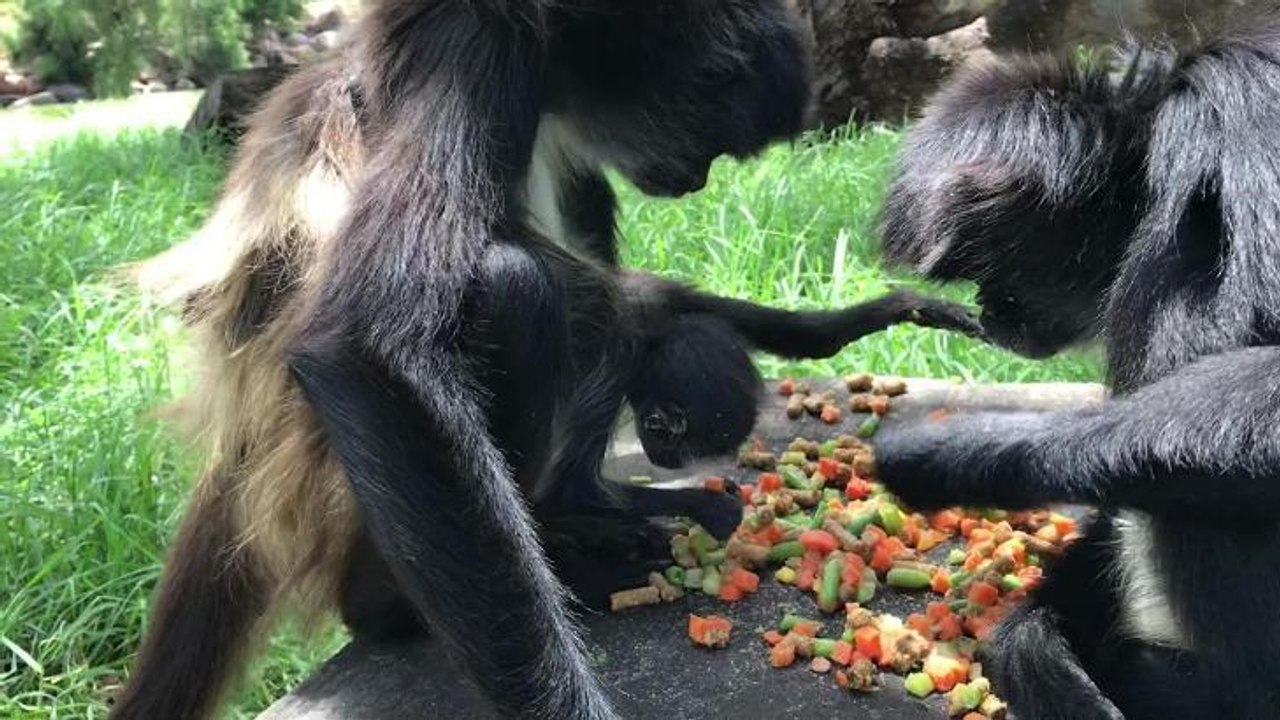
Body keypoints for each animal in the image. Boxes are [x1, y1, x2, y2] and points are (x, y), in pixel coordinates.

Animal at [109, 2, 984, 718]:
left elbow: (647, 299)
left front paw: (866, 315)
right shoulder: (469, 40)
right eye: (711, 141)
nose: (696, 179)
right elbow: (365, 345)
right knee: (521, 285)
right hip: (337, 517)